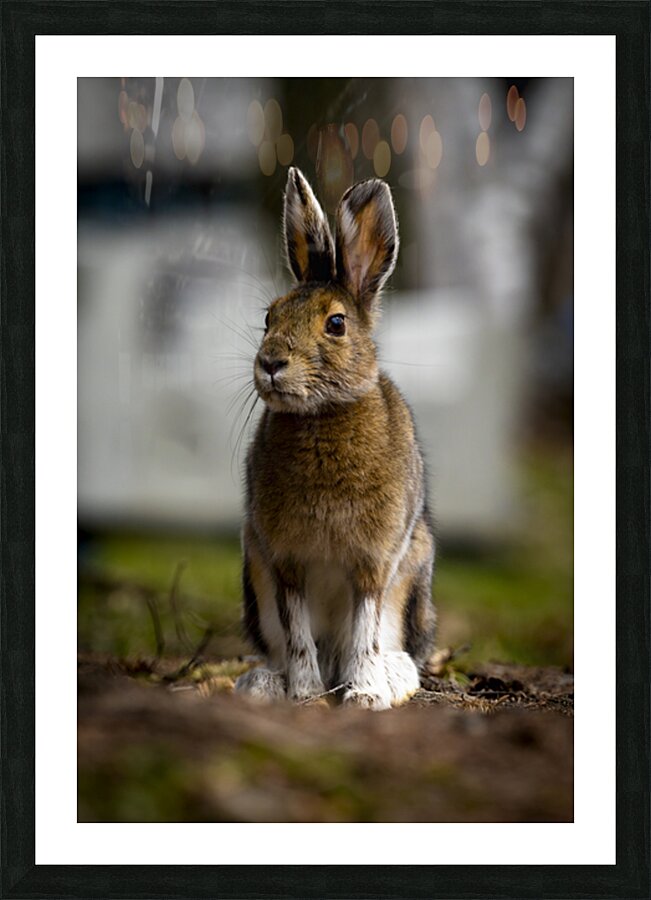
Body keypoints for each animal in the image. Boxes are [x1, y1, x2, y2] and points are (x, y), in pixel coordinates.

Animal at [235, 167, 436, 710]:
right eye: (269, 317)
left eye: (337, 323)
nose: (271, 363)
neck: (322, 415)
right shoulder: (285, 562)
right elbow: (299, 634)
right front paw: (305, 696)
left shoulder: (373, 563)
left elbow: (364, 630)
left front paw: (364, 697)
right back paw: (263, 685)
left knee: (389, 647)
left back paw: (391, 680)